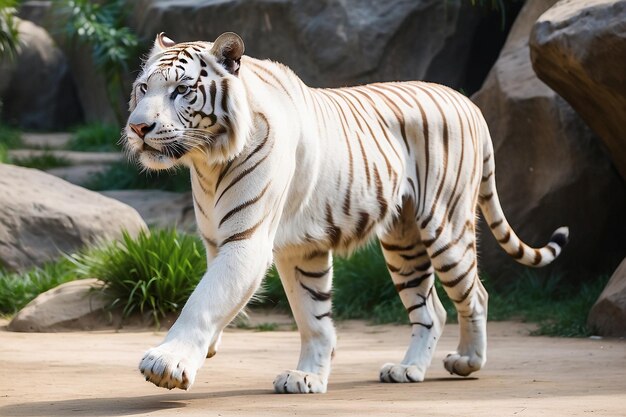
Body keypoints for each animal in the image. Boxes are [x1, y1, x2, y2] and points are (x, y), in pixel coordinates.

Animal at [127, 33, 564, 394]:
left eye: (182, 90)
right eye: (144, 87)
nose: (137, 128)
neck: (208, 161)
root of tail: (468, 102)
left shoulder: (247, 241)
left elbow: (204, 299)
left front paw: (167, 362)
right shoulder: (280, 247)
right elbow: (312, 317)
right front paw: (307, 376)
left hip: (446, 227)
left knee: (476, 295)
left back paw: (468, 360)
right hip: (403, 242)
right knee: (432, 311)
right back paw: (408, 369)